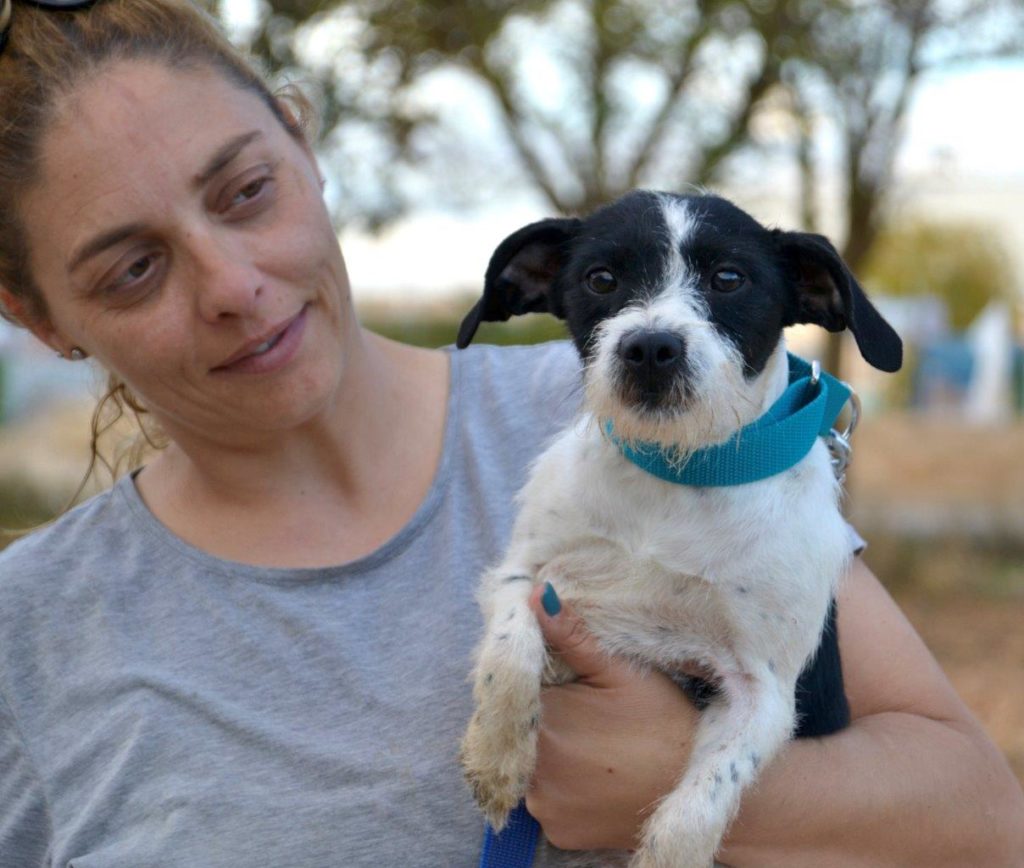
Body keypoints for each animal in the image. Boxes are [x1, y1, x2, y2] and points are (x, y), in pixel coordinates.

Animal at [460, 191, 901, 868]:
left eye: (729, 279)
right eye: (601, 279)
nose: (649, 347)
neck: (679, 471)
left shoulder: (762, 691)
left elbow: (697, 809)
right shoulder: (522, 575)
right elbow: (509, 652)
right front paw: (498, 754)